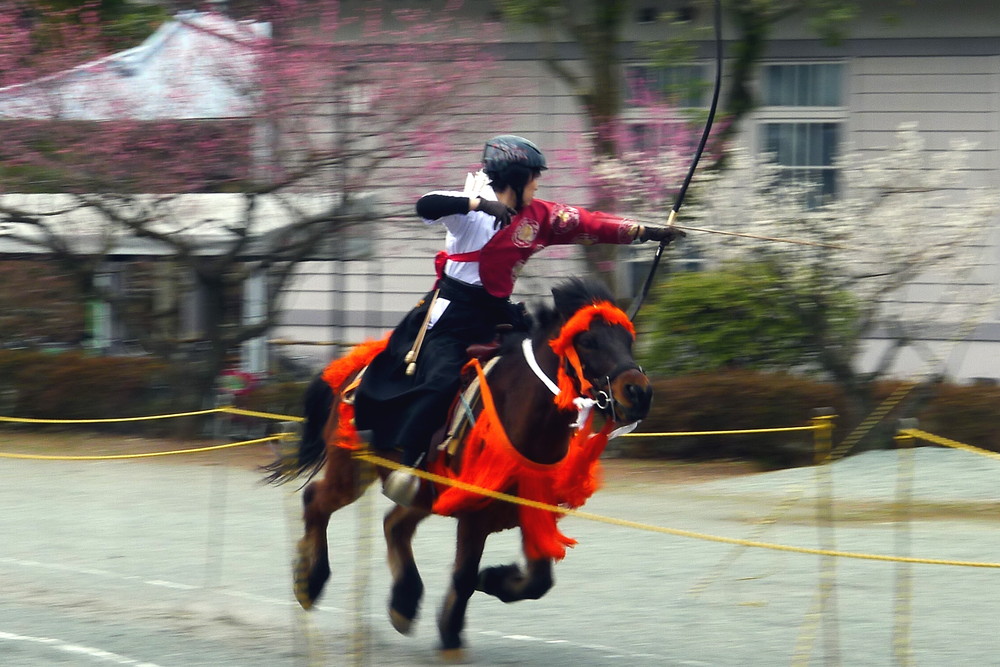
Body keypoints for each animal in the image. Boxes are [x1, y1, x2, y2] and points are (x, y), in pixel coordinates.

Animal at [268, 276, 656, 656]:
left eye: (629, 339)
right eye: (588, 341)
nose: (638, 393)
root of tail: (353, 366)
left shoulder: (533, 508)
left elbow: (538, 581)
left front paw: (494, 579)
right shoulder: (474, 513)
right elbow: (466, 575)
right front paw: (451, 634)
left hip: (424, 492)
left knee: (394, 524)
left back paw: (403, 602)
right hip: (351, 467)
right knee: (317, 501)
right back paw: (310, 581)